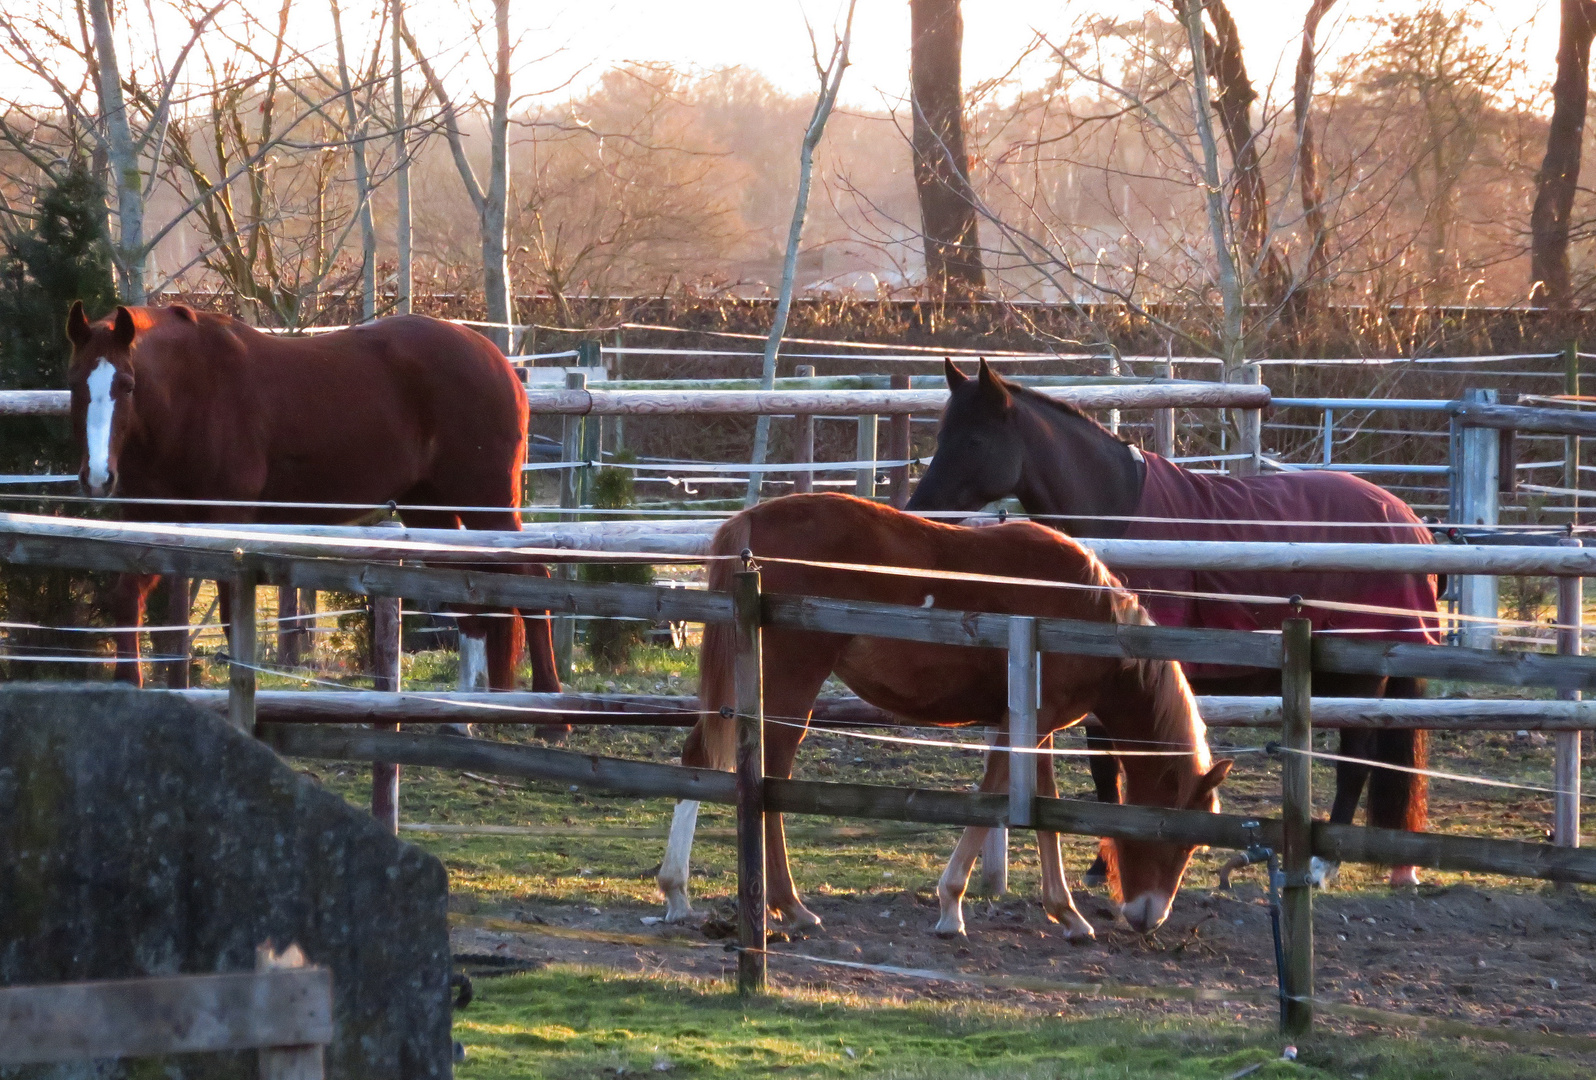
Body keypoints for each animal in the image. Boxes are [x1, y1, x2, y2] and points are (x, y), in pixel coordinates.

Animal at [63, 301, 561, 692]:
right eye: (74, 382)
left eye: (127, 384)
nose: (99, 477)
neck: (190, 394)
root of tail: (499, 362)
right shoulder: (152, 519)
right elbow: (126, 597)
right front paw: (126, 683)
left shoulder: (227, 520)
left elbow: (231, 617)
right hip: (430, 510)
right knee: (476, 603)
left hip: (488, 504)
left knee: (531, 581)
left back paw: (549, 706)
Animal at [660, 491, 1232, 938]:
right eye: (1180, 840)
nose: (1148, 918)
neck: (1082, 611)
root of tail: (750, 522)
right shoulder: (1021, 724)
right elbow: (992, 797)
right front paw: (951, 905)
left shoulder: (1038, 726)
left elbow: (1044, 807)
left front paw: (1066, 914)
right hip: (788, 685)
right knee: (769, 773)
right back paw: (790, 906)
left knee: (701, 757)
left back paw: (677, 891)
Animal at [906, 362, 1442, 886]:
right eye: (942, 435)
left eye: (975, 440)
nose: (917, 510)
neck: (1119, 509)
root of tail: (1406, 519)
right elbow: (1105, 768)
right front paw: (1103, 864)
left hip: (1361, 673)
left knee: (1357, 761)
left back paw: (1319, 865)